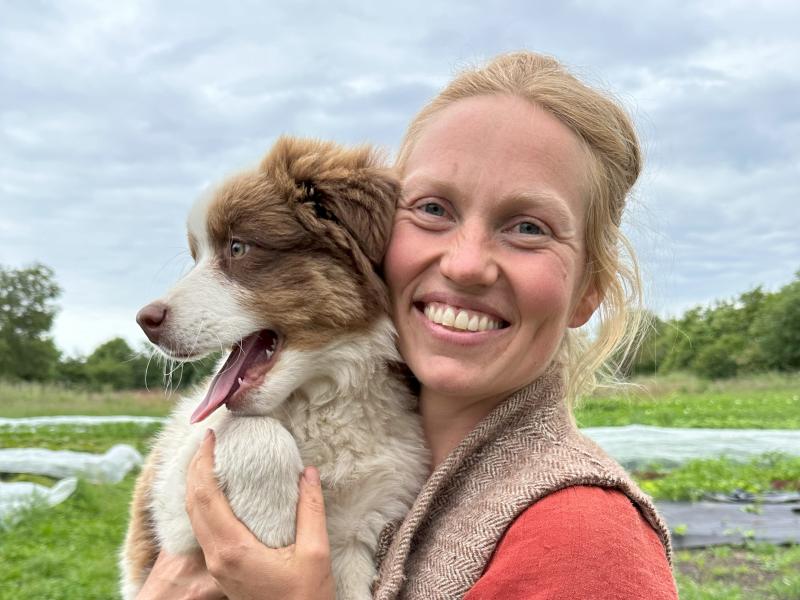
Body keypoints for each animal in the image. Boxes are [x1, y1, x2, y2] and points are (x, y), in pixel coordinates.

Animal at [119, 137, 429, 600]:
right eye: (196, 257)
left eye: (238, 248)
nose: (145, 320)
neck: (319, 398)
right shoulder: (174, 496)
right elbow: (256, 432)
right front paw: (272, 530)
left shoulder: (362, 524)